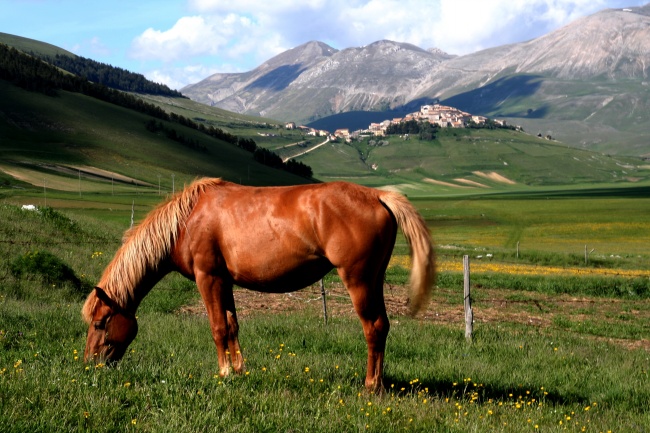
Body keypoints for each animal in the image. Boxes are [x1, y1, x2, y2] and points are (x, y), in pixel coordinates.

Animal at [82, 177, 436, 390]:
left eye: (100, 323)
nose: (89, 365)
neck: (186, 221)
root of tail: (378, 195)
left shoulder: (208, 278)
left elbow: (217, 328)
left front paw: (224, 373)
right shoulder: (224, 281)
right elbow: (232, 325)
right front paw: (239, 370)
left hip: (358, 280)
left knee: (372, 327)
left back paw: (370, 385)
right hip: (374, 280)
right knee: (383, 325)